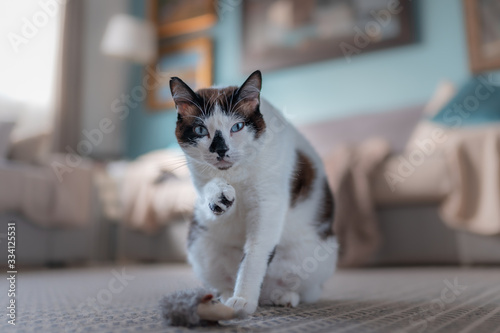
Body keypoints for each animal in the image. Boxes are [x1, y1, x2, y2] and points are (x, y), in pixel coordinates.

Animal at [170, 70, 338, 314]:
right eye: (200, 130)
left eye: (237, 127)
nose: (221, 149)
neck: (236, 176)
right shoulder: (202, 184)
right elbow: (213, 192)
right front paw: (219, 194)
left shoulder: (268, 203)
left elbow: (254, 254)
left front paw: (243, 300)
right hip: (200, 245)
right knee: (222, 281)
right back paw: (225, 296)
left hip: (316, 256)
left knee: (305, 290)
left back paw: (283, 296)